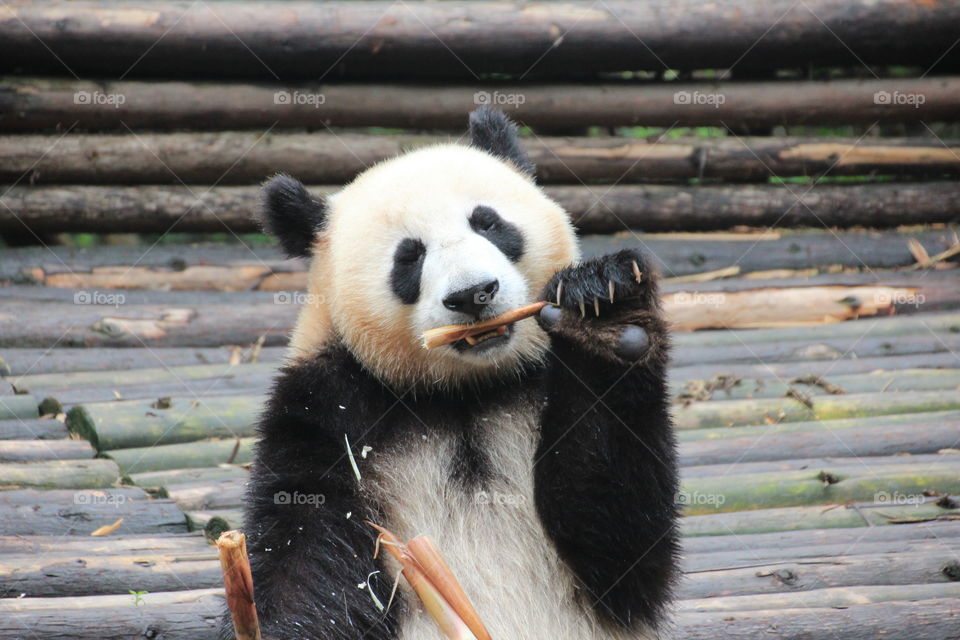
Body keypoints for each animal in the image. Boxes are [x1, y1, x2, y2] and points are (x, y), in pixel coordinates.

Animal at [225, 107, 679, 640]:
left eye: (490, 223)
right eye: (409, 256)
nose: (473, 293)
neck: (464, 391)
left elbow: (618, 543)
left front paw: (605, 312)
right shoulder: (328, 408)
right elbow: (304, 550)